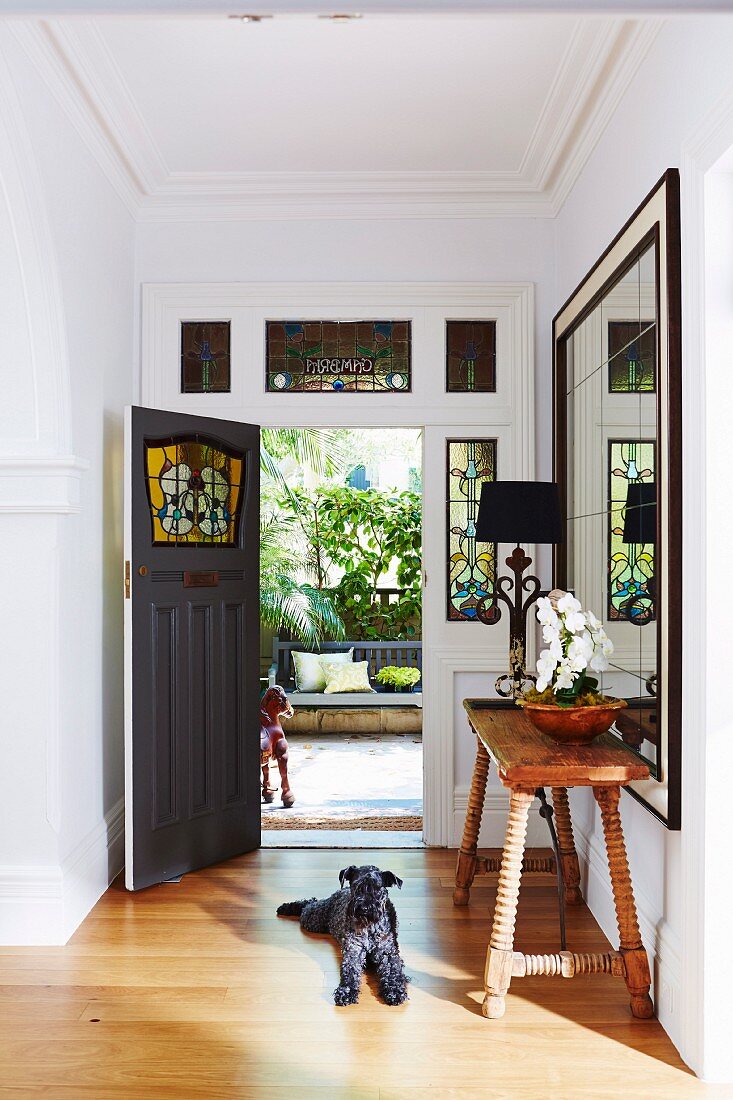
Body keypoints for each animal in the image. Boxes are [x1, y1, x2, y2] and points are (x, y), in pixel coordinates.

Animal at [275, 862, 407, 1007]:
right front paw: (346, 991)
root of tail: (340, 891)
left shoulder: (387, 952)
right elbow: (349, 971)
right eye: (355, 885)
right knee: (308, 903)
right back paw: (286, 907)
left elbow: (393, 972)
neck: (369, 927)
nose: (364, 908)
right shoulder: (353, 951)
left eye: (377, 889)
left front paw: (394, 991)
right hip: (313, 919)